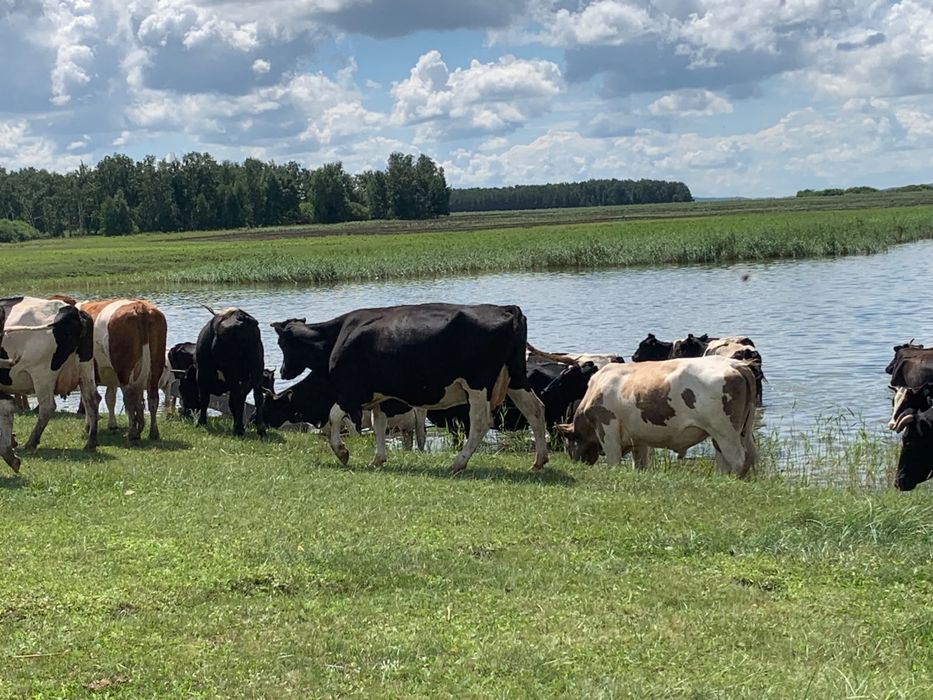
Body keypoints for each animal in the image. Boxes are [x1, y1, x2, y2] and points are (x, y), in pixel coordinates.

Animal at [0, 296, 98, 452]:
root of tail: (73, 312)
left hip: (42, 374)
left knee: (47, 407)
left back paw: (31, 442)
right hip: (86, 368)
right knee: (92, 400)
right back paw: (90, 443)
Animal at [76, 299, 167, 441]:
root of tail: (140, 306)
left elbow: (88, 400)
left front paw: (88, 426)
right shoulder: (110, 375)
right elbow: (110, 398)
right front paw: (112, 425)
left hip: (124, 370)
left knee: (128, 398)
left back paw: (132, 434)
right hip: (156, 365)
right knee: (152, 398)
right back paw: (153, 433)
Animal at [186, 307, 267, 437]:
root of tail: (240, 316)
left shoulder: (201, 375)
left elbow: (204, 399)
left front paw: (201, 422)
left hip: (234, 372)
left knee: (239, 397)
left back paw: (239, 429)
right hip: (257, 366)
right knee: (256, 397)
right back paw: (260, 429)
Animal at [272, 303, 548, 474]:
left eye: (282, 343)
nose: (283, 371)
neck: (339, 335)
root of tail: (506, 309)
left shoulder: (353, 391)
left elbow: (335, 415)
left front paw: (342, 452)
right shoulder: (379, 395)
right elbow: (379, 425)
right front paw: (378, 459)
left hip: (478, 386)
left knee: (480, 423)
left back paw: (457, 463)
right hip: (516, 378)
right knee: (535, 410)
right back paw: (538, 461)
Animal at [555, 356, 758, 476]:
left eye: (568, 444)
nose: (576, 462)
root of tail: (736, 364)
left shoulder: (607, 428)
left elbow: (614, 460)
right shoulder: (639, 438)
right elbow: (640, 463)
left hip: (725, 432)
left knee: (737, 458)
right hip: (737, 432)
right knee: (740, 457)